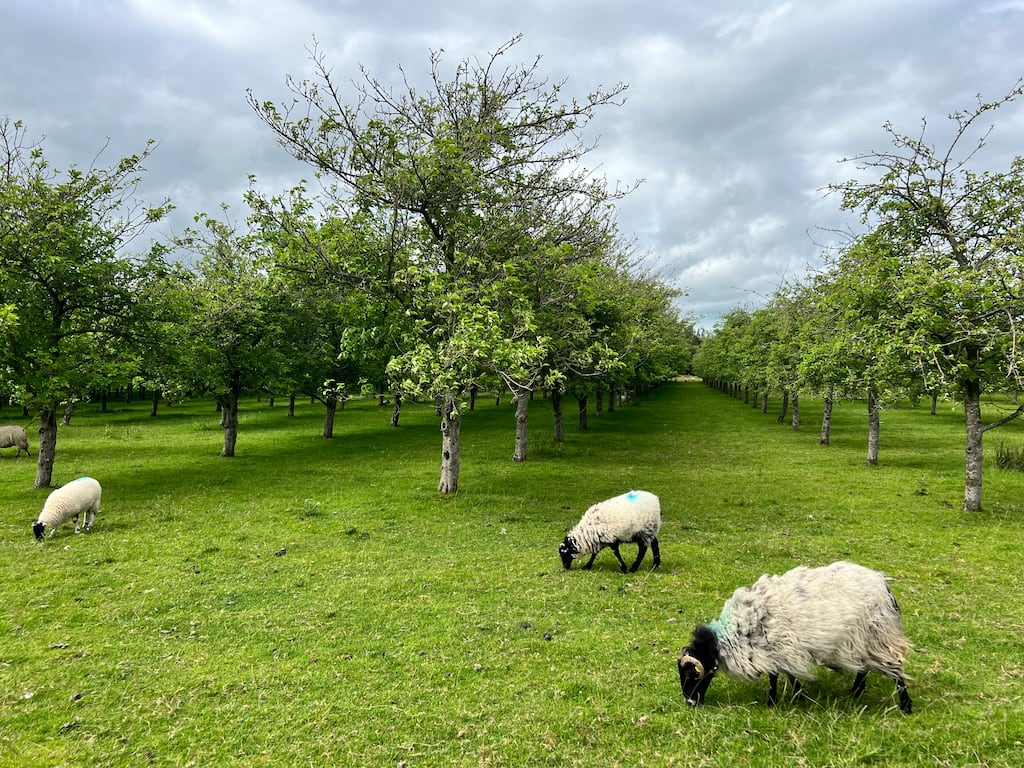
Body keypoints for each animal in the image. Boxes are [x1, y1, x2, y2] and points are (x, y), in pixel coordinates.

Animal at [678, 560, 913, 714]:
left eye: (692, 675)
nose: (690, 702)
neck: (737, 632)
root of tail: (883, 584)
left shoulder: (781, 648)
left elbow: (776, 677)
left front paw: (773, 702)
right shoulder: (781, 651)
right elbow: (785, 676)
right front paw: (797, 696)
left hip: (878, 635)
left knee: (896, 669)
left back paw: (905, 706)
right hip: (861, 641)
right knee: (863, 669)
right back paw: (854, 693)